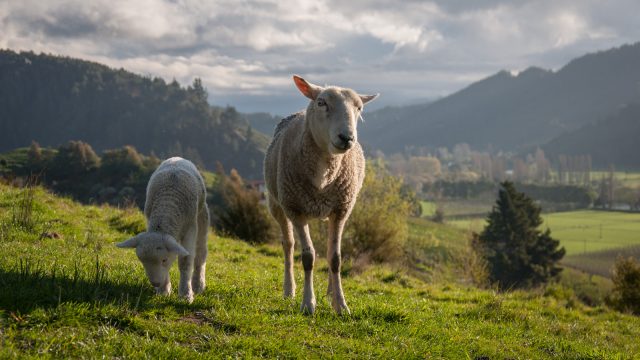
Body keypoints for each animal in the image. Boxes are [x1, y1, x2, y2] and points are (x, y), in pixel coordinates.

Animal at [115, 156, 210, 302]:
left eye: (164, 260)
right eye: (142, 261)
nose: (155, 283)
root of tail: (177, 157)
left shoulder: (190, 228)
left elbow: (185, 261)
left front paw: (185, 294)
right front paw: (164, 290)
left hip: (202, 214)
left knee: (201, 251)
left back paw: (198, 284)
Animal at [264, 74, 380, 314]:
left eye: (359, 108)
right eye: (321, 103)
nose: (347, 137)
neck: (324, 174)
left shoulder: (341, 210)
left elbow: (335, 258)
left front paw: (341, 304)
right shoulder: (295, 209)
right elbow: (308, 257)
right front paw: (308, 304)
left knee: (328, 249)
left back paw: (329, 292)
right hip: (277, 204)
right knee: (288, 244)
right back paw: (289, 290)